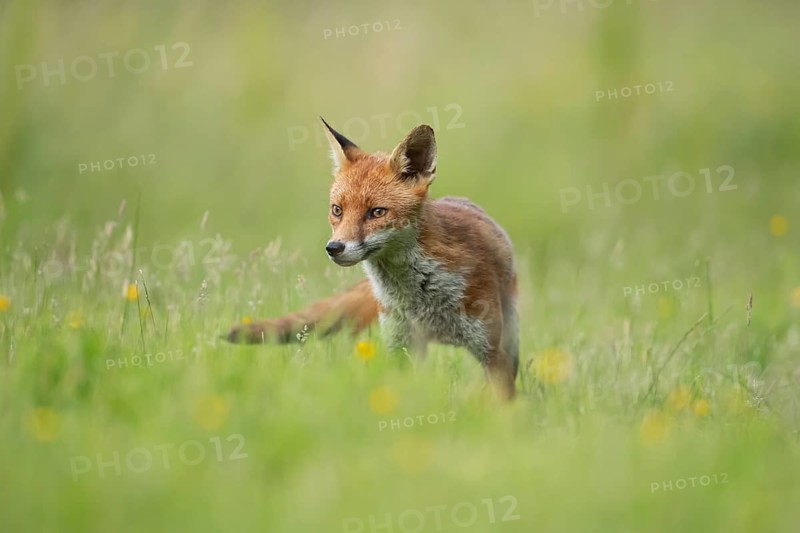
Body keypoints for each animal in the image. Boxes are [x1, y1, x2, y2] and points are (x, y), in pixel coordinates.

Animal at [228, 119, 519, 399]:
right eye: (337, 210)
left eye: (377, 212)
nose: (334, 247)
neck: (422, 299)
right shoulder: (399, 346)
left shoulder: (493, 352)